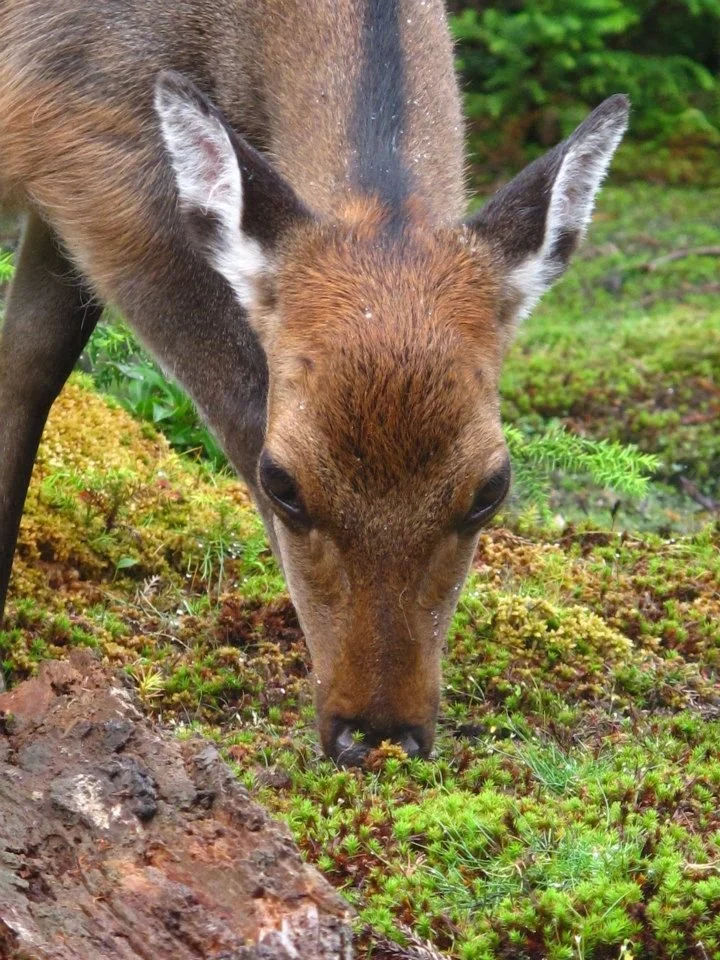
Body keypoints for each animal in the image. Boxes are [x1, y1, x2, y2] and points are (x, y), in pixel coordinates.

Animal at [0, 0, 628, 765]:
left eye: (491, 489)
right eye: (282, 483)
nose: (379, 732)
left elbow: (28, 358)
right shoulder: (87, 141)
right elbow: (238, 395)